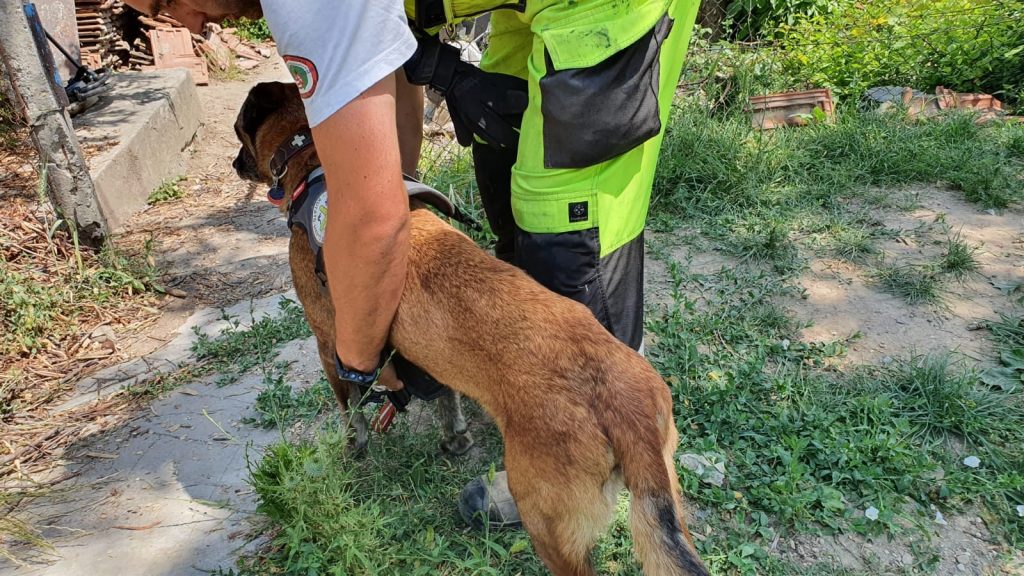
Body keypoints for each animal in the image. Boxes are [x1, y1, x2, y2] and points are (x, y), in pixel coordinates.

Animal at [233, 82, 709, 576]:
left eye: (238, 133)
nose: (234, 165)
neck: (313, 165)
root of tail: (620, 404)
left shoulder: (330, 345)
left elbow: (353, 407)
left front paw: (355, 449)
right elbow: (447, 400)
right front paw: (455, 437)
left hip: (548, 524)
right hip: (667, 504)